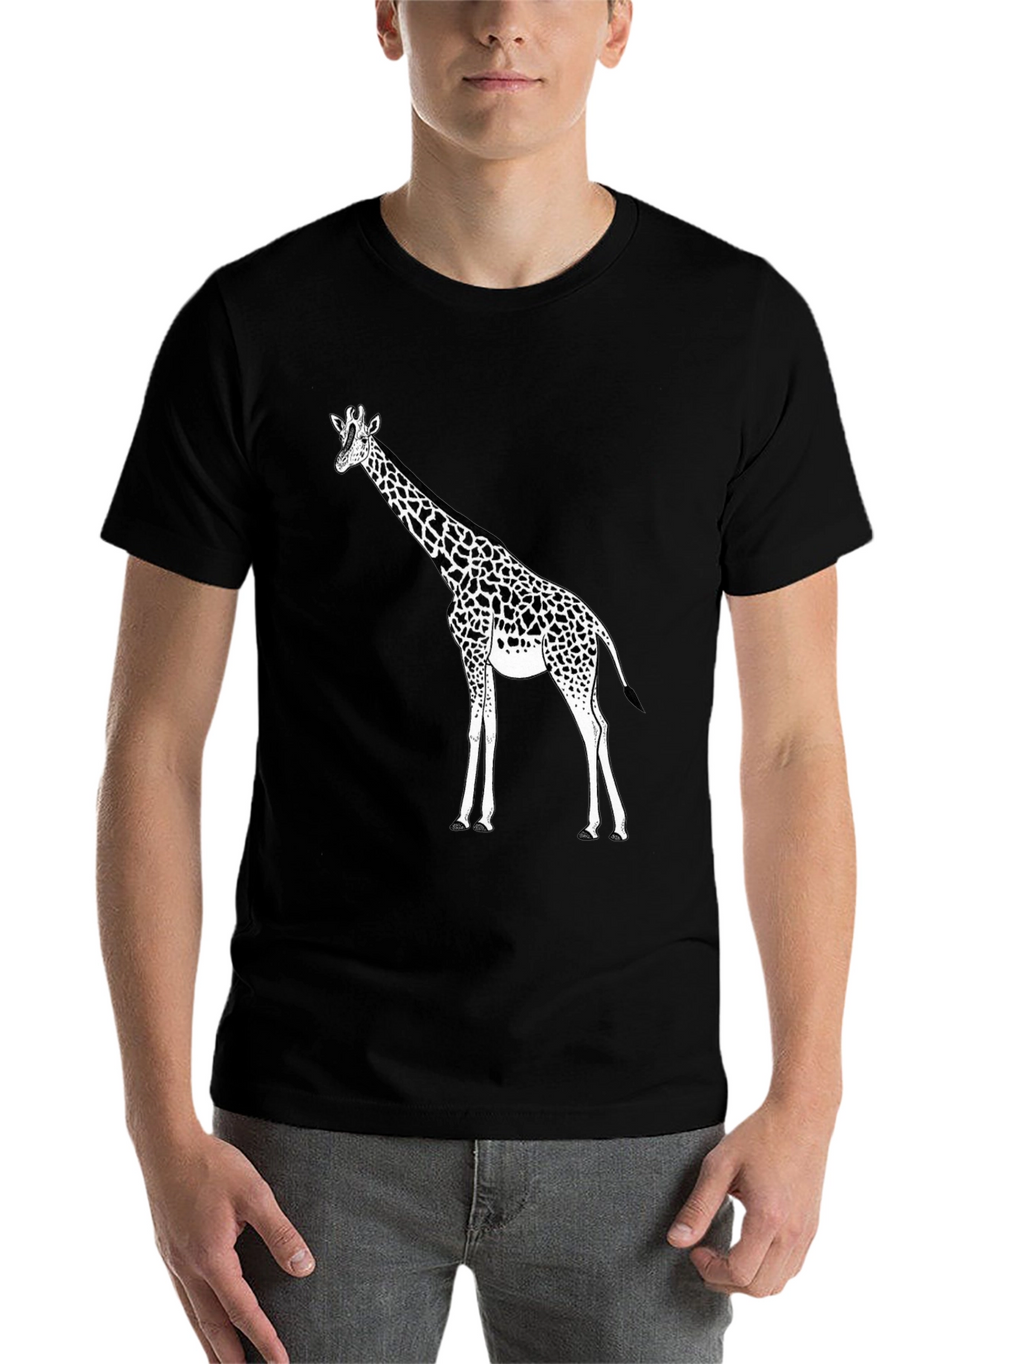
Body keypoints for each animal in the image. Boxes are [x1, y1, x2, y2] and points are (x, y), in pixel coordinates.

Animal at [331, 405, 643, 840]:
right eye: (342, 435)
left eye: (362, 439)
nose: (340, 463)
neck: (453, 564)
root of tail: (599, 627)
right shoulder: (485, 656)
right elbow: (492, 728)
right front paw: (485, 816)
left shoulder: (471, 647)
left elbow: (474, 728)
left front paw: (464, 817)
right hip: (588, 674)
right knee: (604, 725)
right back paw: (619, 826)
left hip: (568, 672)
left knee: (590, 730)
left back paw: (592, 824)